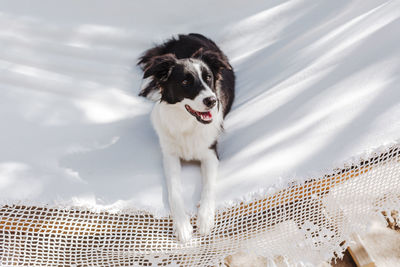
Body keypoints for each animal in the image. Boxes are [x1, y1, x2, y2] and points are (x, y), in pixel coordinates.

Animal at [139, 33, 236, 243]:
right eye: (185, 83)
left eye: (208, 78)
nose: (211, 100)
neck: (188, 124)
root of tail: (191, 35)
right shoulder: (170, 156)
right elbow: (174, 191)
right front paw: (182, 225)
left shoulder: (210, 154)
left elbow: (208, 187)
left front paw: (205, 219)